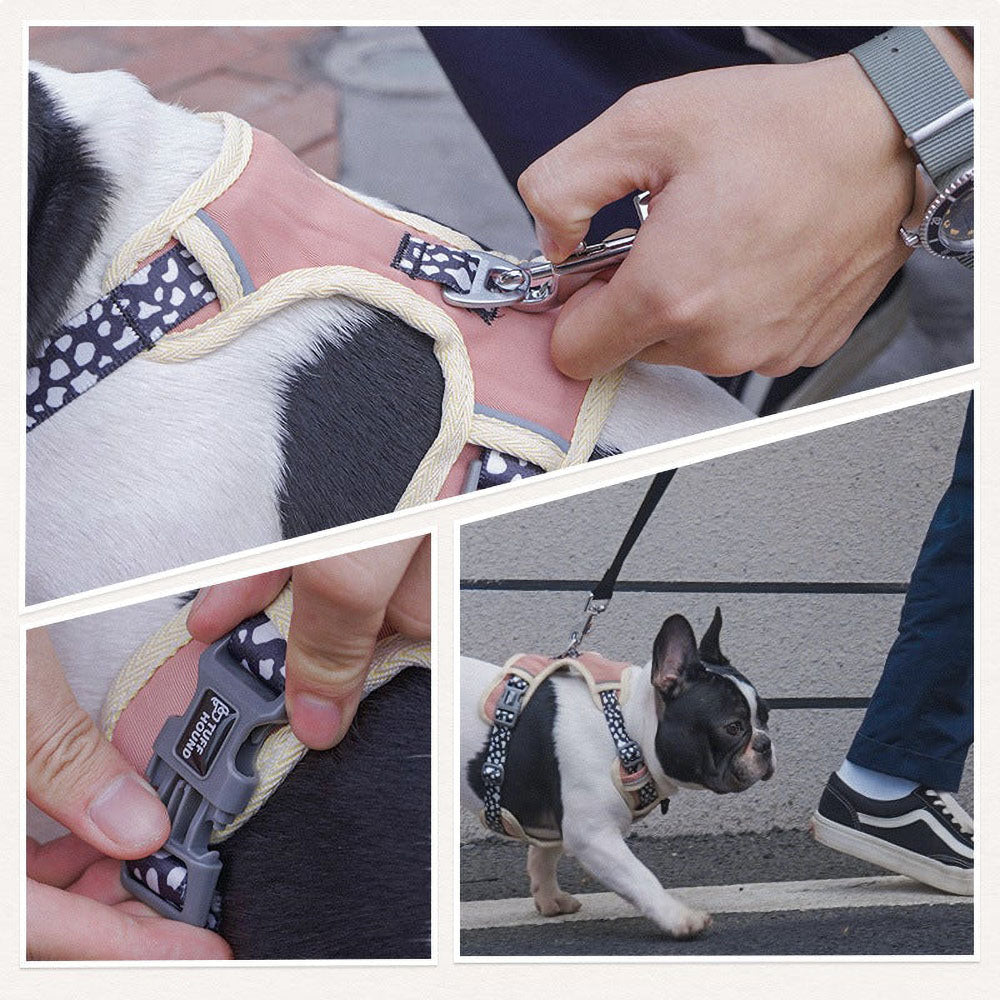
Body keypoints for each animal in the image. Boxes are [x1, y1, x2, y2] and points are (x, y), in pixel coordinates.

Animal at [460, 604, 772, 940]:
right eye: (733, 727)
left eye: (765, 717)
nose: (766, 743)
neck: (625, 727)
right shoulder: (593, 835)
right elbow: (639, 876)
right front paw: (678, 917)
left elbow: (544, 856)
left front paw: (550, 898)